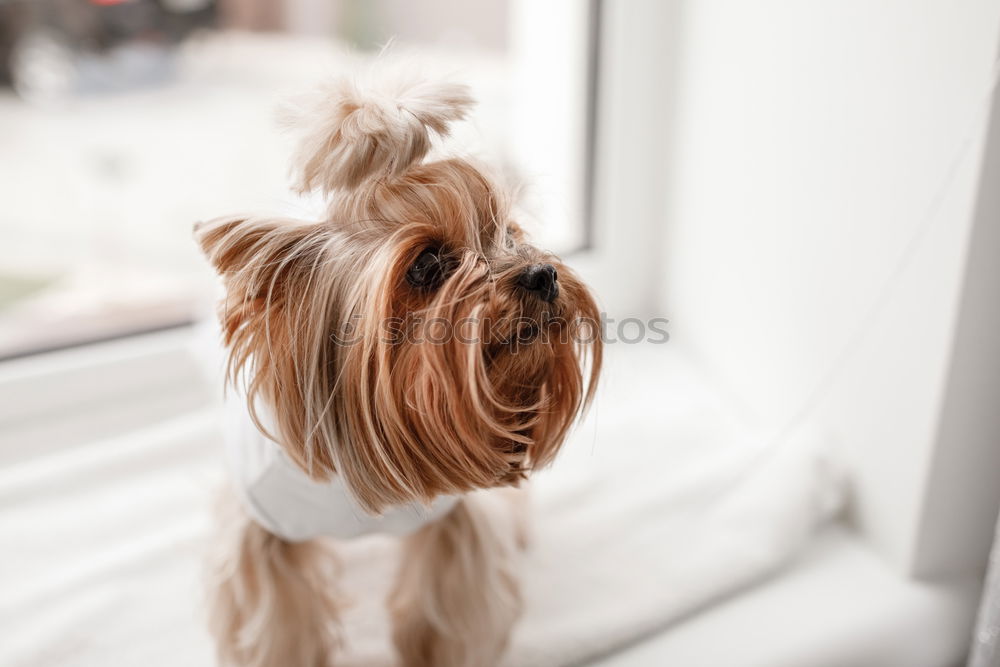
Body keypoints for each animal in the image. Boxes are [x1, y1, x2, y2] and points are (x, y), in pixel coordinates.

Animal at [195, 73, 600, 667]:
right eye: (426, 265)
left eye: (509, 233)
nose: (543, 274)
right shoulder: (265, 529)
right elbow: (279, 618)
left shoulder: (454, 520)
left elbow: (448, 603)